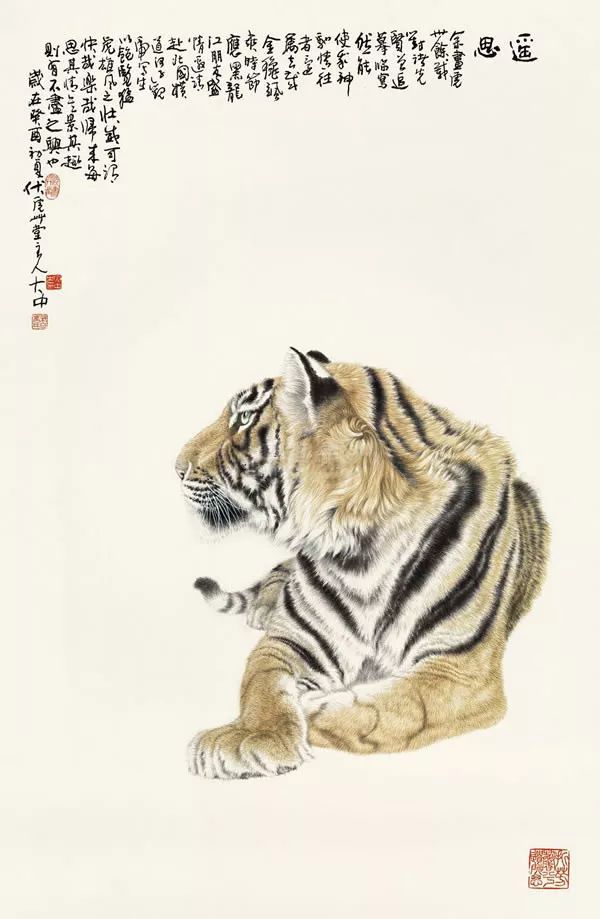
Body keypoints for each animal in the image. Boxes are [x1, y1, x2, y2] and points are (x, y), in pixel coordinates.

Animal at [175, 348, 549, 780]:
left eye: (244, 419)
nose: (175, 467)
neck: (359, 548)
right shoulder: (294, 639)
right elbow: (260, 682)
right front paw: (251, 737)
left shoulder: (458, 667)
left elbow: (393, 712)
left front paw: (312, 709)